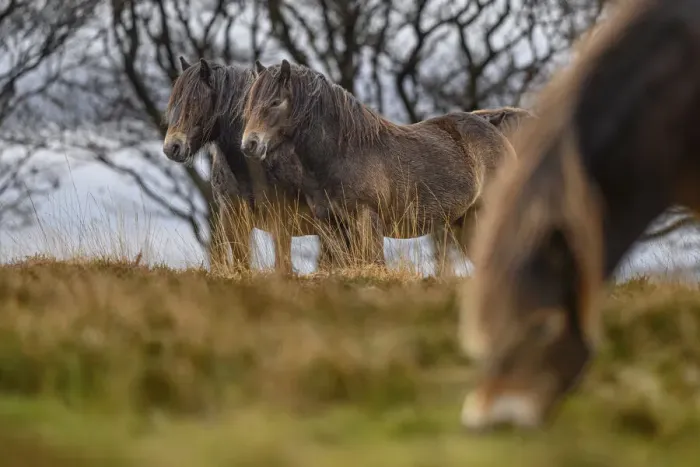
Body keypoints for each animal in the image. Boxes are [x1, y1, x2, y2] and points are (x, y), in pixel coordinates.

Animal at [240, 59, 518, 275]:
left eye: (275, 102)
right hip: (465, 223)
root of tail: (494, 129)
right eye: (250, 104)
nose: (249, 144)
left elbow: (374, 262)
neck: (342, 152)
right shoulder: (330, 225)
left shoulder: (368, 219)